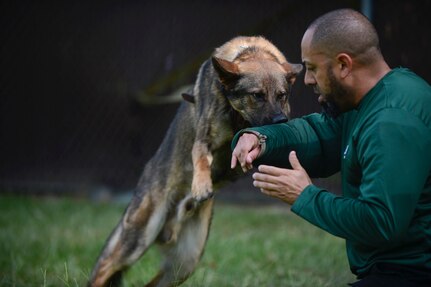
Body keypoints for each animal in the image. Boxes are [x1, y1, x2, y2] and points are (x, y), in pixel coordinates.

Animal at [88, 36, 304, 287]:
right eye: (257, 95)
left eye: (282, 95)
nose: (281, 120)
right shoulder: (203, 140)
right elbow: (201, 159)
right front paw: (201, 185)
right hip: (139, 237)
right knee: (105, 267)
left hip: (185, 263)